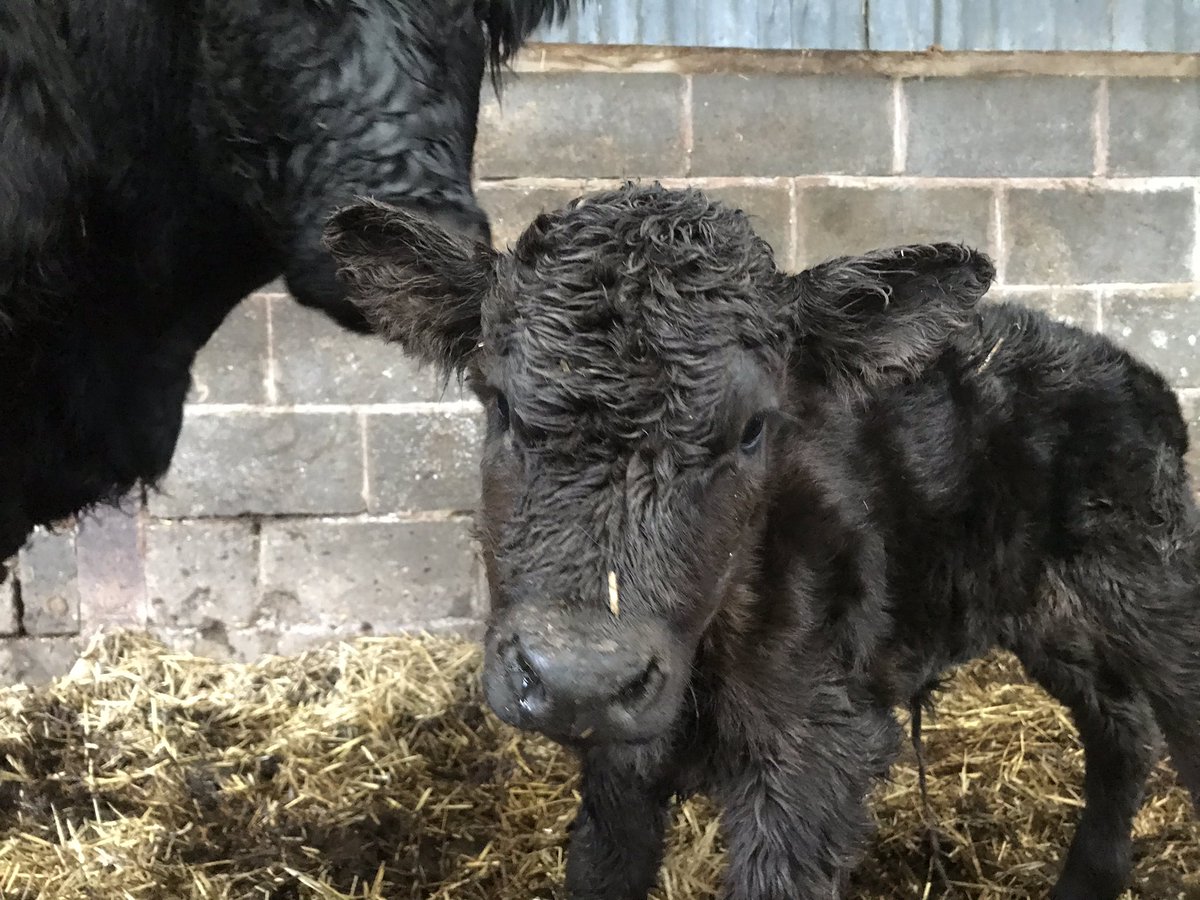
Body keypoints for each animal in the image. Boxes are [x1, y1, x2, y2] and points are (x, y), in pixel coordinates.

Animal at [324, 182, 1200, 900]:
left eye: (752, 429)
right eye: (501, 405)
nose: (581, 680)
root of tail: (1123, 365)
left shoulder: (815, 754)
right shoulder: (619, 761)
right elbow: (602, 867)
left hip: (1154, 592)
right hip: (1046, 610)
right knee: (1120, 726)